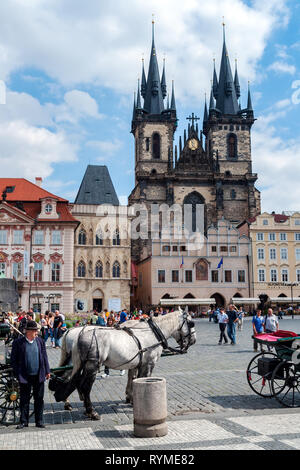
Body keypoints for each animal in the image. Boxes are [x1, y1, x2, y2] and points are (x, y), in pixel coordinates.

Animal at [49, 310, 197, 420]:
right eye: (191, 323)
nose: (194, 340)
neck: (153, 332)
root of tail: (76, 334)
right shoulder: (148, 364)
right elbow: (142, 379)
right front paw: (135, 401)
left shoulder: (136, 364)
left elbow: (133, 379)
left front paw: (130, 397)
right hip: (91, 366)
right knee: (84, 386)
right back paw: (90, 411)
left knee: (70, 380)